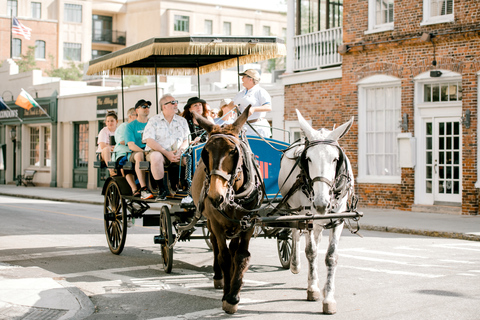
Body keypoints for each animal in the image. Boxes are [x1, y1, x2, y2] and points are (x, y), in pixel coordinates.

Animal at [190, 105, 264, 316]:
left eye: (233, 152)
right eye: (206, 152)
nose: (216, 196)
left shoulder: (248, 223)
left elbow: (241, 256)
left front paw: (233, 295)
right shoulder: (216, 223)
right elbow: (223, 256)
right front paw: (226, 294)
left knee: (233, 248)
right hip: (209, 220)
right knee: (215, 244)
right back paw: (218, 277)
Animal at [278, 109, 356, 314]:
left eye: (335, 159)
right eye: (309, 159)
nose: (321, 203)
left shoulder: (338, 220)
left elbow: (331, 256)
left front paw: (328, 297)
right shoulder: (307, 217)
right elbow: (311, 251)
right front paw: (313, 288)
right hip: (295, 210)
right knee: (295, 233)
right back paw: (296, 265)